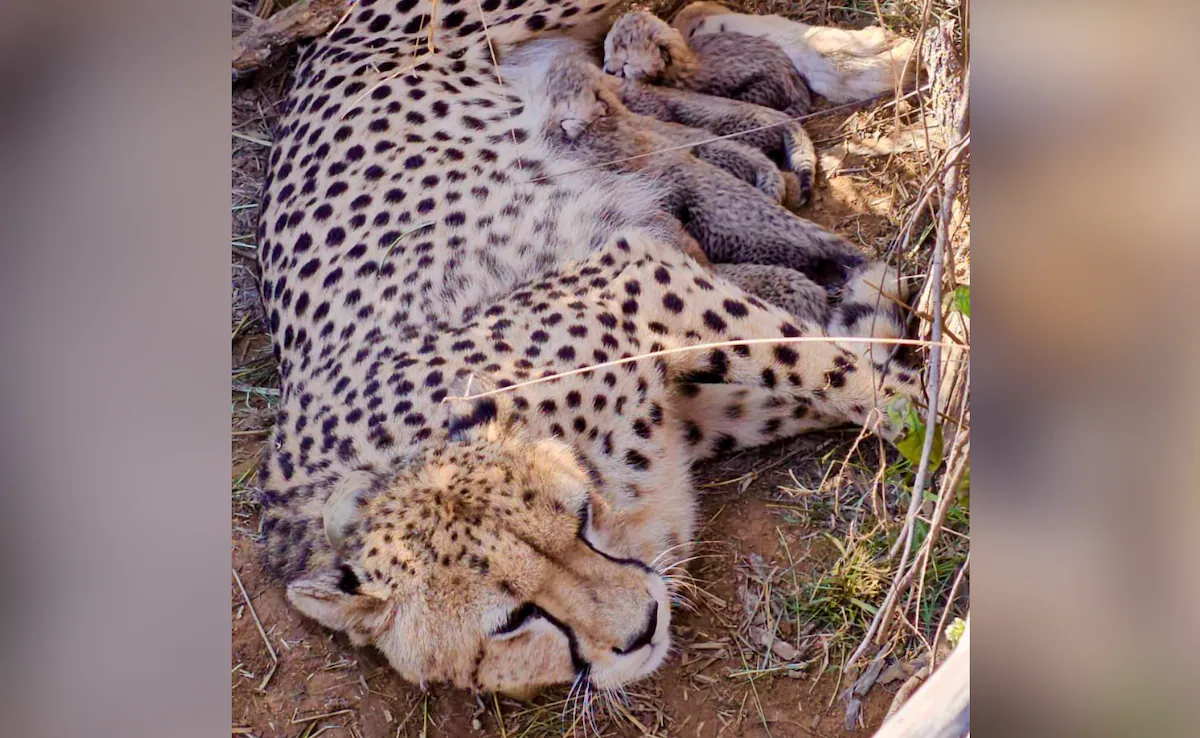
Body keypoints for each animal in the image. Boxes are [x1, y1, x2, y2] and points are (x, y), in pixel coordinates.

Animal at [254, 0, 923, 700]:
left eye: (579, 520)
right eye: (512, 620)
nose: (644, 627)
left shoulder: (642, 276)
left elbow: (848, 377)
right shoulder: (702, 390)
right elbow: (835, 372)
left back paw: (881, 56)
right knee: (694, 19)